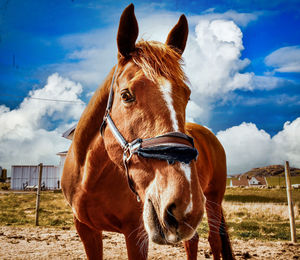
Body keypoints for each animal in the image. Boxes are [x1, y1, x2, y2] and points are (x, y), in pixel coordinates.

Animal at [61, 4, 234, 260]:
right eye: (126, 95)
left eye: (187, 96)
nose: (184, 204)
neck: (91, 178)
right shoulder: (85, 229)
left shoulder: (136, 234)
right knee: (192, 241)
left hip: (212, 200)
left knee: (214, 241)